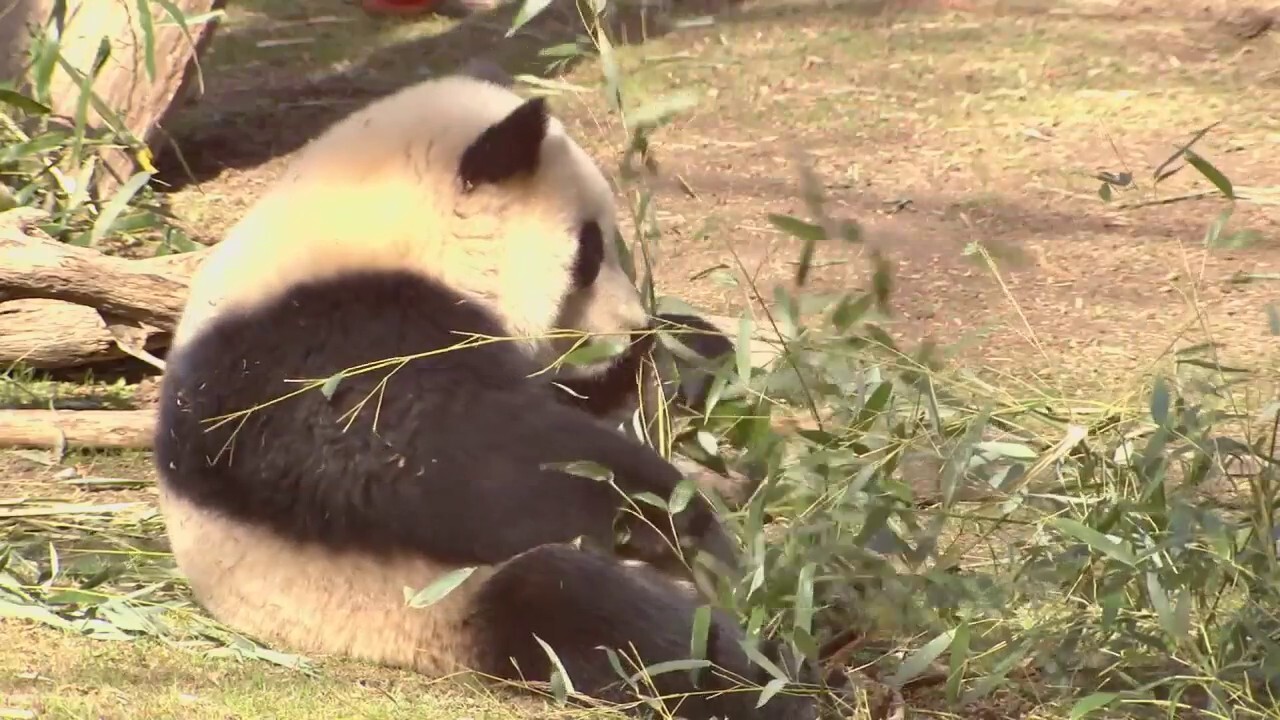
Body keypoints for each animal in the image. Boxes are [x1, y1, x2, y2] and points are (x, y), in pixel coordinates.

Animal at [154, 67, 844, 717]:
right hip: (427, 606)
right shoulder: (317, 341)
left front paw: (691, 357)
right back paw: (781, 672)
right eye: (590, 251)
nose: (632, 328)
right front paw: (668, 508)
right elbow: (432, 451)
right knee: (596, 616)